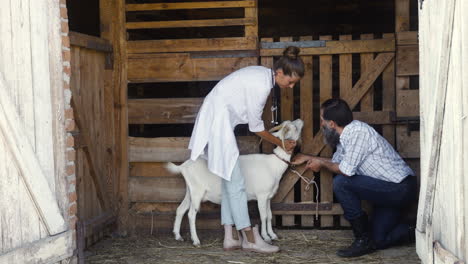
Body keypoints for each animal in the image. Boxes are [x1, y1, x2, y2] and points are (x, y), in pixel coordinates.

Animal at [165, 118, 304, 246]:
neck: (273, 164)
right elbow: (264, 216)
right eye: (294, 127)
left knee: (180, 209)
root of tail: (183, 166)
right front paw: (266, 237)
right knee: (191, 214)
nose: (300, 120)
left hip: (190, 191)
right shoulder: (262, 195)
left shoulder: (269, 197)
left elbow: (270, 215)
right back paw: (196, 241)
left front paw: (273, 235)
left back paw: (178, 236)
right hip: (197, 192)